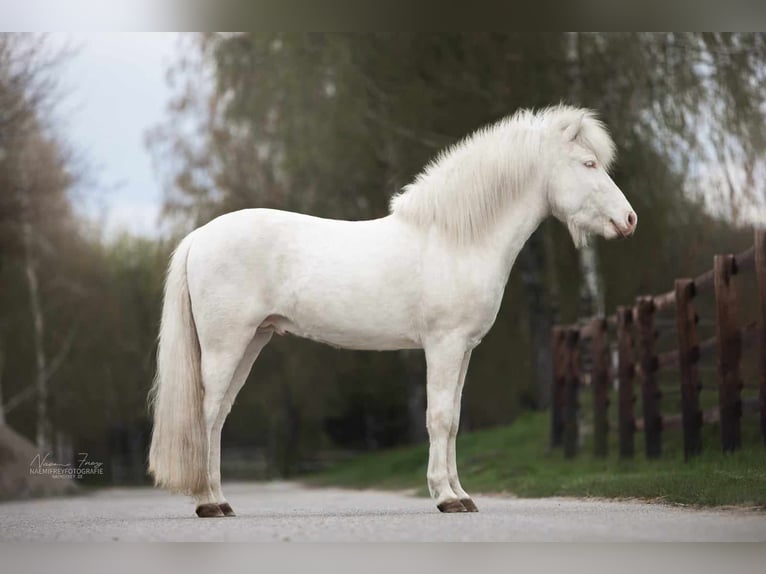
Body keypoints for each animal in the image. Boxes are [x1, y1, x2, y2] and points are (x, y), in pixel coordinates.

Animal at [147, 106, 640, 520]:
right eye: (588, 164)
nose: (629, 220)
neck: (455, 238)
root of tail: (198, 238)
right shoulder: (443, 345)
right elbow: (438, 417)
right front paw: (445, 498)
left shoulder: (463, 349)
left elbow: (454, 419)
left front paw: (462, 495)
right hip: (226, 344)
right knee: (207, 414)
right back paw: (209, 503)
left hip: (253, 341)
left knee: (219, 416)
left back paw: (220, 501)